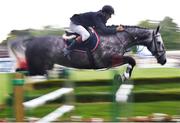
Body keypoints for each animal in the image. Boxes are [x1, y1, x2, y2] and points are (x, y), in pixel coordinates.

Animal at [8, 25, 166, 80]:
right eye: (159, 43)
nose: (164, 60)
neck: (118, 37)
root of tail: (32, 40)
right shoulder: (107, 60)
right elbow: (131, 60)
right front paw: (124, 76)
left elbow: (130, 61)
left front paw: (123, 76)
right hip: (37, 68)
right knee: (23, 73)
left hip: (44, 67)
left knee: (23, 71)